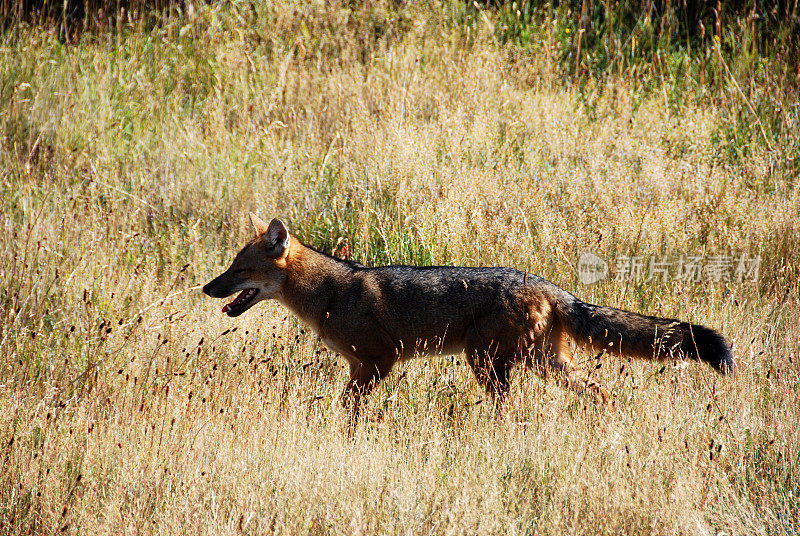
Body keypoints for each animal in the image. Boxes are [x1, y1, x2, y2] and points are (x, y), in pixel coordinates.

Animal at [203, 213, 736, 410]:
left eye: (238, 269)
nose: (208, 288)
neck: (330, 293)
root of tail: (546, 282)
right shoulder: (363, 367)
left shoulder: (377, 362)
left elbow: (348, 412)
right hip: (541, 363)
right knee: (598, 391)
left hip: (489, 365)